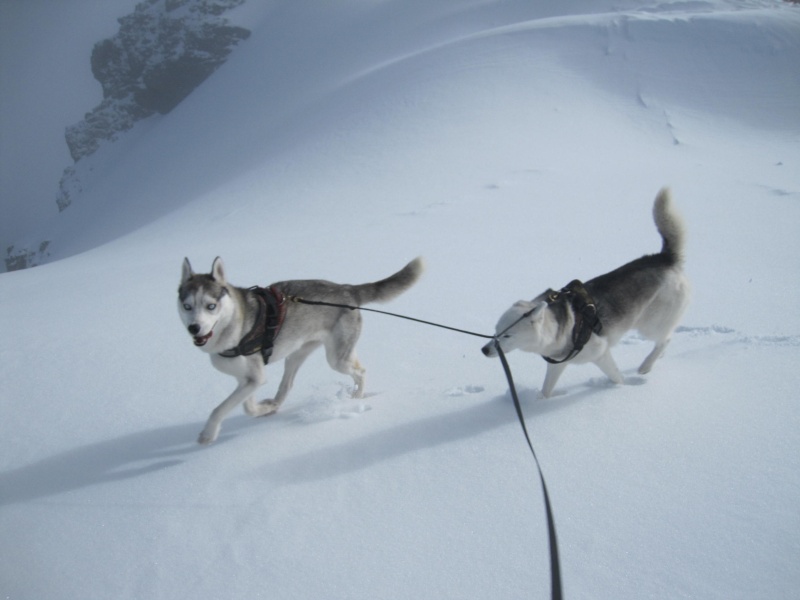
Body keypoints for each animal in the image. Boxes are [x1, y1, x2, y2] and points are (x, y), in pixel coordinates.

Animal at [177, 255, 422, 442]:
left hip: (337, 359)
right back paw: (275, 404)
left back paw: (357, 397)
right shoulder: (247, 378)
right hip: (296, 355)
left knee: (360, 371)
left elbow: (221, 409)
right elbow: (247, 405)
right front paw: (264, 408)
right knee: (287, 385)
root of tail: (347, 289)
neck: (233, 325)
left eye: (211, 306)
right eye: (187, 306)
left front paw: (208, 434)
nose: (194, 328)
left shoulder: (254, 377)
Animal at [484, 189, 692, 398]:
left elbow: (617, 377)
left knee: (666, 338)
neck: (557, 325)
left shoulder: (600, 353)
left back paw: (646, 365)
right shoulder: (558, 363)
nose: (484, 350)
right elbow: (546, 390)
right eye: (496, 331)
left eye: (508, 335)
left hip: (651, 324)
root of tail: (665, 258)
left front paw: (622, 389)